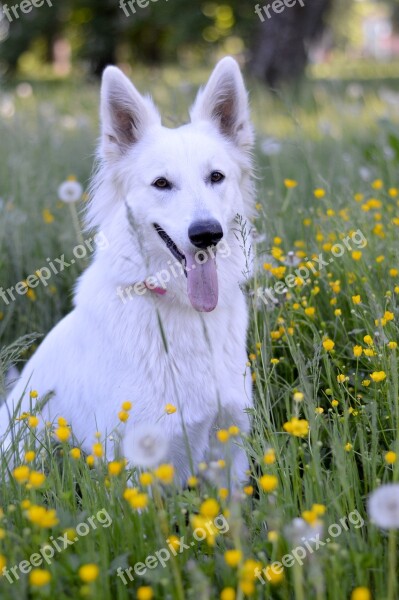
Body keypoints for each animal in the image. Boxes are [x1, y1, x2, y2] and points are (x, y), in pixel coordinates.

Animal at [0, 56, 255, 486]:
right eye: (162, 183)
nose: (207, 234)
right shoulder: (139, 467)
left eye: (216, 177)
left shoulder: (231, 453)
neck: (183, 310)